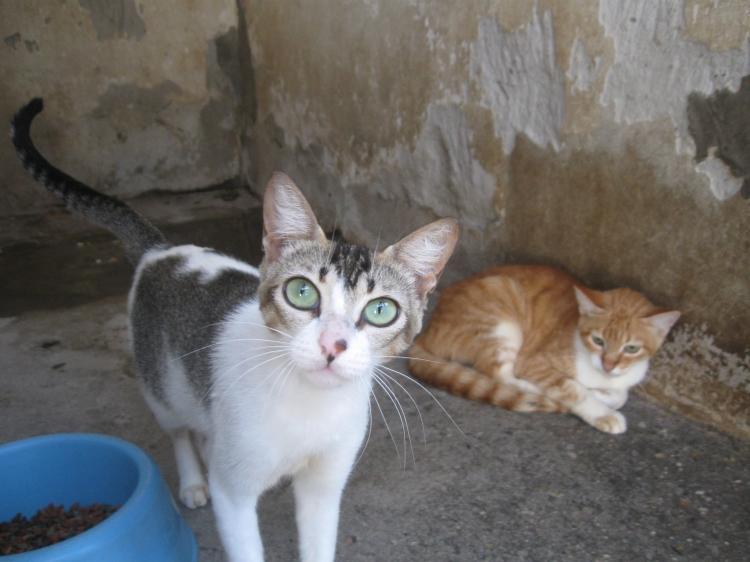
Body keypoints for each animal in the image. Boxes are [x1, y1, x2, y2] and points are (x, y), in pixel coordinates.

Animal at [11, 98, 459, 562]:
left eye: (381, 310)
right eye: (302, 292)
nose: (332, 344)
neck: (310, 407)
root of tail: (162, 250)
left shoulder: (324, 484)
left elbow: (317, 541)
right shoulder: (235, 495)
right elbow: (243, 537)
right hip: (161, 385)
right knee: (179, 430)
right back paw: (193, 480)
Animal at [408, 265, 679, 434]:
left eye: (631, 348)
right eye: (598, 340)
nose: (609, 364)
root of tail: (428, 330)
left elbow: (620, 395)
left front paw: (605, 395)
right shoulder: (534, 362)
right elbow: (574, 389)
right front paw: (601, 411)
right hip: (501, 316)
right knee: (501, 375)